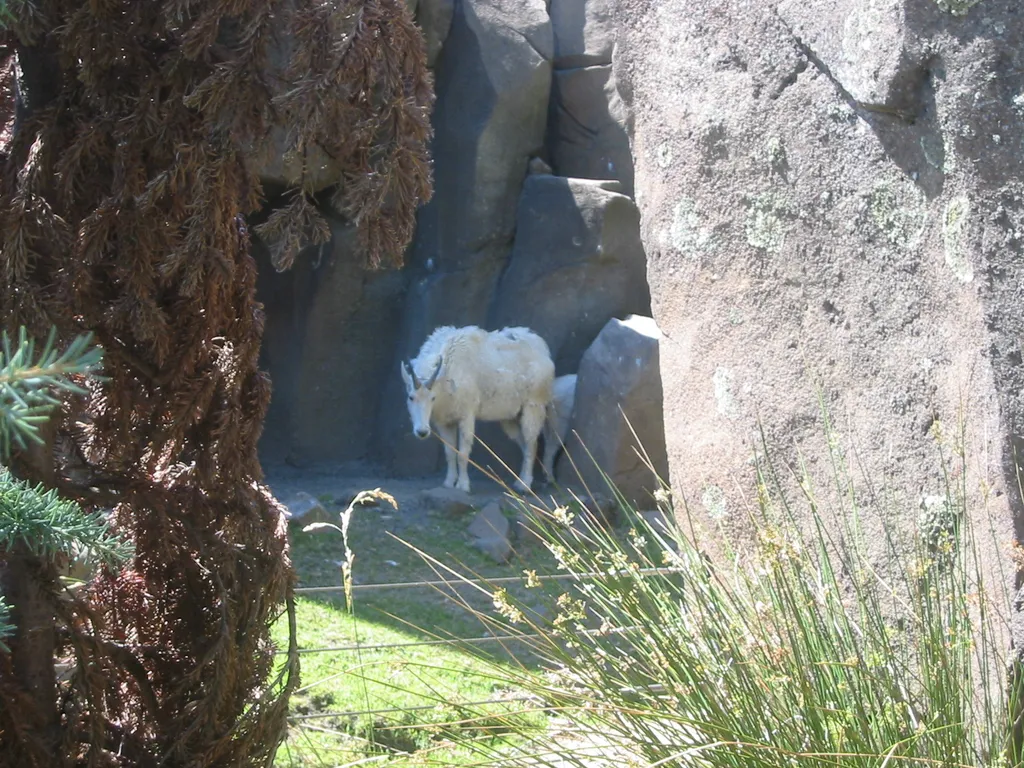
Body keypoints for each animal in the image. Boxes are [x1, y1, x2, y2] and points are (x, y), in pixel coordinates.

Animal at [401, 325, 555, 493]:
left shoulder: (466, 415)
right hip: (510, 417)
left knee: (531, 442)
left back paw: (525, 485)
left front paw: (463, 485)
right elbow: (450, 453)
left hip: (534, 405)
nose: (422, 432)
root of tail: (544, 351)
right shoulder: (445, 422)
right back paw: (519, 481)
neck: (447, 375)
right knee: (523, 443)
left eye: (432, 398)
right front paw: (448, 483)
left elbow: (462, 453)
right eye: (411, 397)